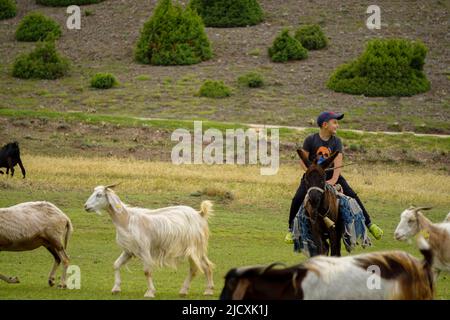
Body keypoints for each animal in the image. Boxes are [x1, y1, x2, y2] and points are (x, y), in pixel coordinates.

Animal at [84, 184, 214, 298]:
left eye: (99, 195)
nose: (85, 206)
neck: (127, 219)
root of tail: (200, 214)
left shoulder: (145, 249)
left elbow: (147, 271)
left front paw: (150, 292)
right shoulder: (128, 250)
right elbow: (116, 264)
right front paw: (116, 288)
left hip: (194, 247)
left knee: (197, 267)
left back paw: (201, 290)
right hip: (198, 249)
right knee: (204, 266)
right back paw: (197, 290)